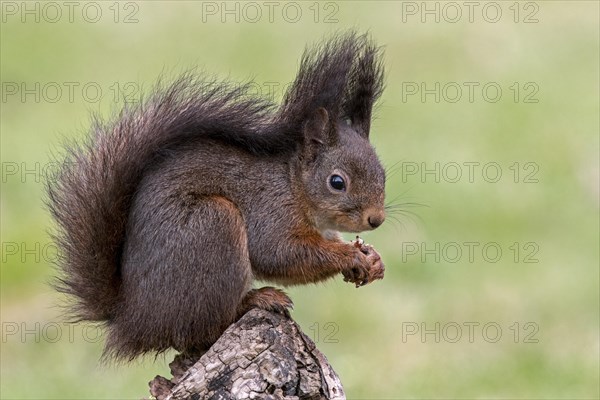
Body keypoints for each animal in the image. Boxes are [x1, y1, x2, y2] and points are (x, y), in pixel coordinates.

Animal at [45, 31, 384, 360]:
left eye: (382, 172)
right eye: (337, 182)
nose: (376, 219)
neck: (293, 185)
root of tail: (133, 320)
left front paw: (371, 260)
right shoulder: (269, 210)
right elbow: (280, 254)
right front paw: (350, 255)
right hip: (214, 225)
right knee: (206, 325)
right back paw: (257, 298)